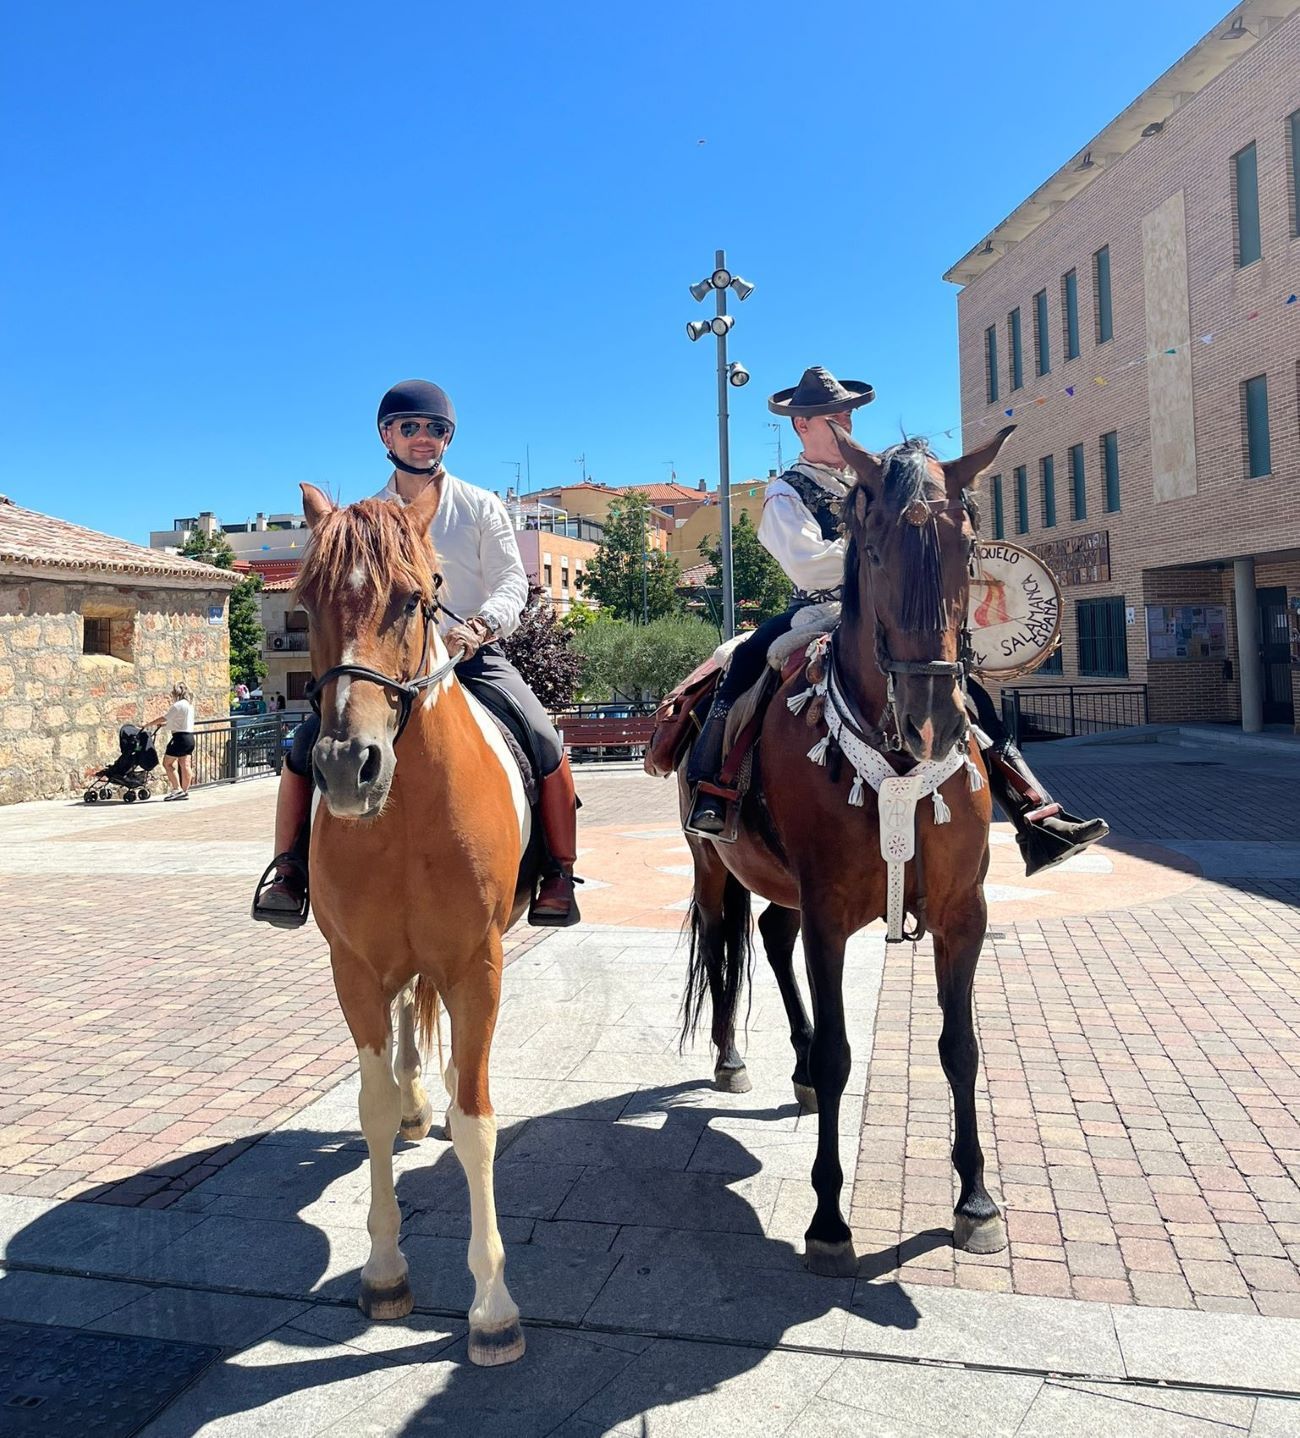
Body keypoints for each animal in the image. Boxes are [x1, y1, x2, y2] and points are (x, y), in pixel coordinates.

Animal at [294, 480, 532, 1357]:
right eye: (304, 603)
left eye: (415, 596)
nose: (345, 767)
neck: (401, 815)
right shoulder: (354, 968)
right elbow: (365, 1110)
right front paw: (385, 1270)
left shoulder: (475, 970)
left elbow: (476, 1125)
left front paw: (492, 1306)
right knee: (401, 1026)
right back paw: (409, 1102)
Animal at [681, 422, 1018, 1271]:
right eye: (872, 550)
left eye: (970, 547)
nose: (935, 714)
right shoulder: (831, 913)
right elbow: (840, 1054)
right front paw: (829, 1217)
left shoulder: (963, 913)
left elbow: (961, 1047)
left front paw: (976, 1200)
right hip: (712, 866)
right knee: (724, 942)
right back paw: (731, 1059)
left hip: (784, 885)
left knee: (770, 934)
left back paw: (791, 1066)